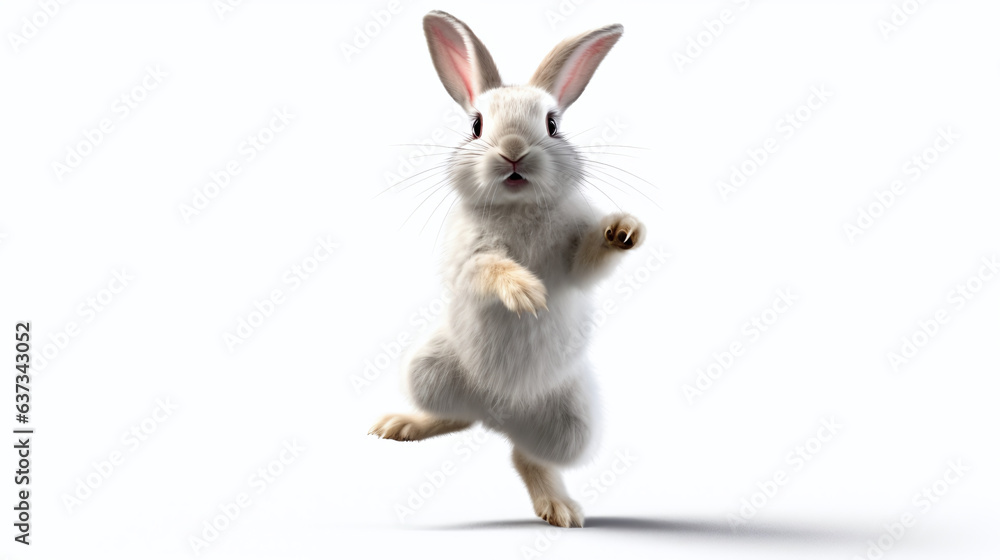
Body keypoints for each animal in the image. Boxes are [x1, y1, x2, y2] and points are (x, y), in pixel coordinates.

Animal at [370, 10, 644, 529]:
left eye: (553, 124)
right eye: (476, 125)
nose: (513, 150)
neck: (518, 208)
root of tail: (498, 414)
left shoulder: (573, 256)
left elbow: (588, 258)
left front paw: (624, 230)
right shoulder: (470, 255)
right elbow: (489, 268)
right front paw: (525, 292)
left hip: (574, 422)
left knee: (526, 457)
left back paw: (560, 508)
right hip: (427, 367)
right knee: (457, 417)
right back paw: (399, 425)